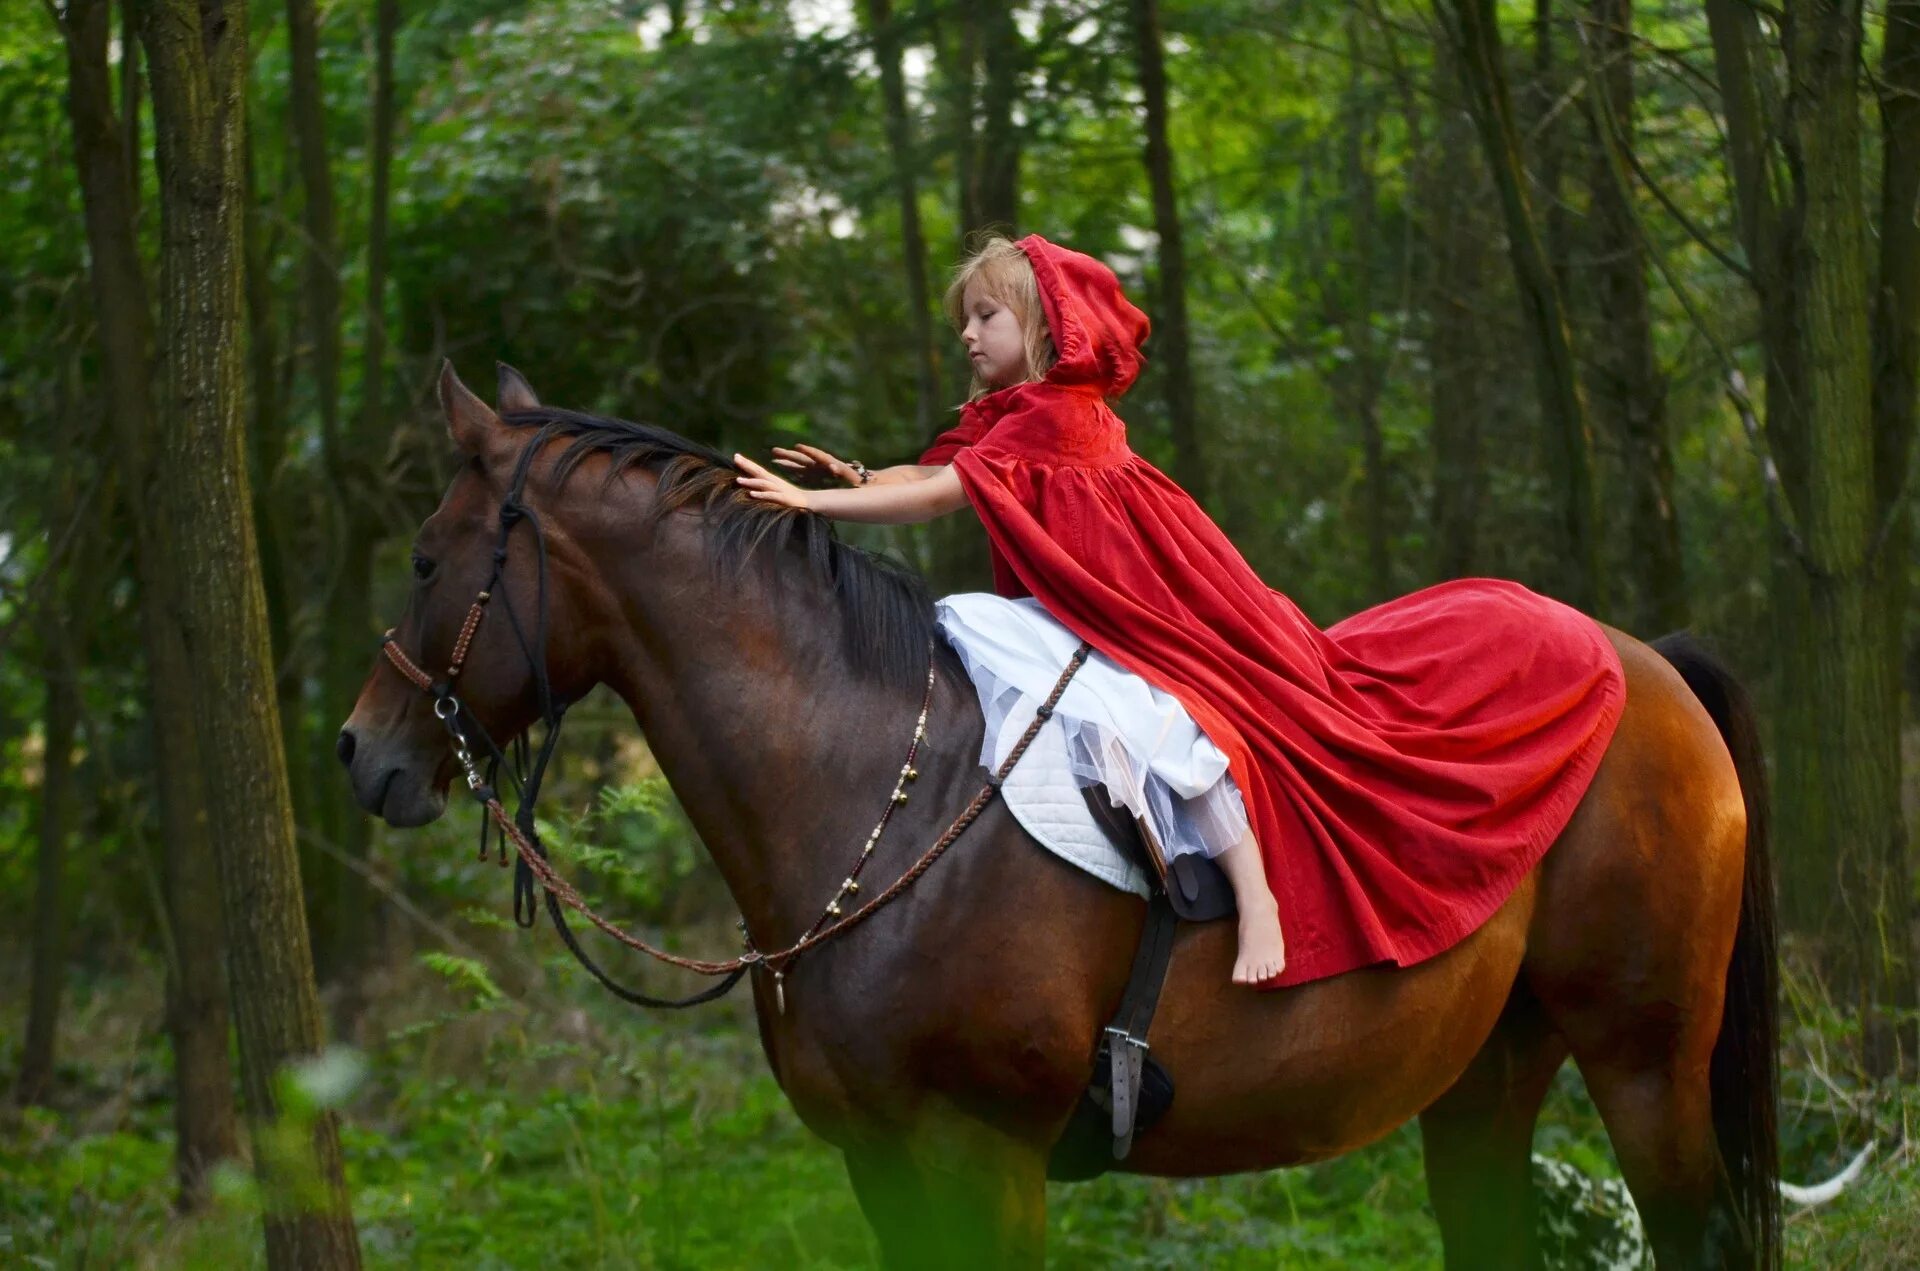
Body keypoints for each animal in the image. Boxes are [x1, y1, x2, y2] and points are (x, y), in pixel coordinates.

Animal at [337, 362, 1774, 1267]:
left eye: (424, 555)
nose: (364, 753)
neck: (870, 793)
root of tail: (1641, 660)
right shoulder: (882, 1163)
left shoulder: (982, 1155)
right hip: (1490, 1064)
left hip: (1646, 1055)